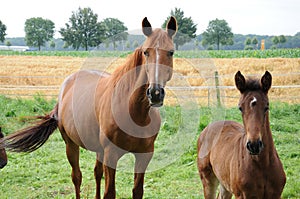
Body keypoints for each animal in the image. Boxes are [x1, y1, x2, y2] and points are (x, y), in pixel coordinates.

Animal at [0, 16, 177, 198]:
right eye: (145, 52)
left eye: (171, 52)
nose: (155, 93)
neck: (135, 113)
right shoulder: (111, 155)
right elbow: (109, 192)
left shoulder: (144, 156)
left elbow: (137, 191)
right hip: (71, 144)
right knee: (77, 177)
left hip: (99, 150)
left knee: (97, 173)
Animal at [197, 70, 286, 198]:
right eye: (240, 108)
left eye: (266, 107)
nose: (254, 145)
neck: (262, 164)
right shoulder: (242, 195)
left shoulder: (276, 195)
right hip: (207, 179)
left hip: (225, 183)